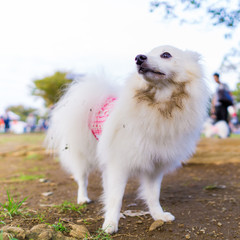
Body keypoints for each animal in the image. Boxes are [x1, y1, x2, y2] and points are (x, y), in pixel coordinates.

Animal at [46, 45, 208, 232]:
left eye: (166, 55)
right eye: (147, 53)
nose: (139, 58)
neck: (159, 106)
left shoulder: (154, 166)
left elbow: (153, 195)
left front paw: (158, 215)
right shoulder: (119, 164)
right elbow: (116, 198)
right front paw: (110, 224)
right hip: (83, 154)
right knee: (82, 179)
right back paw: (82, 198)